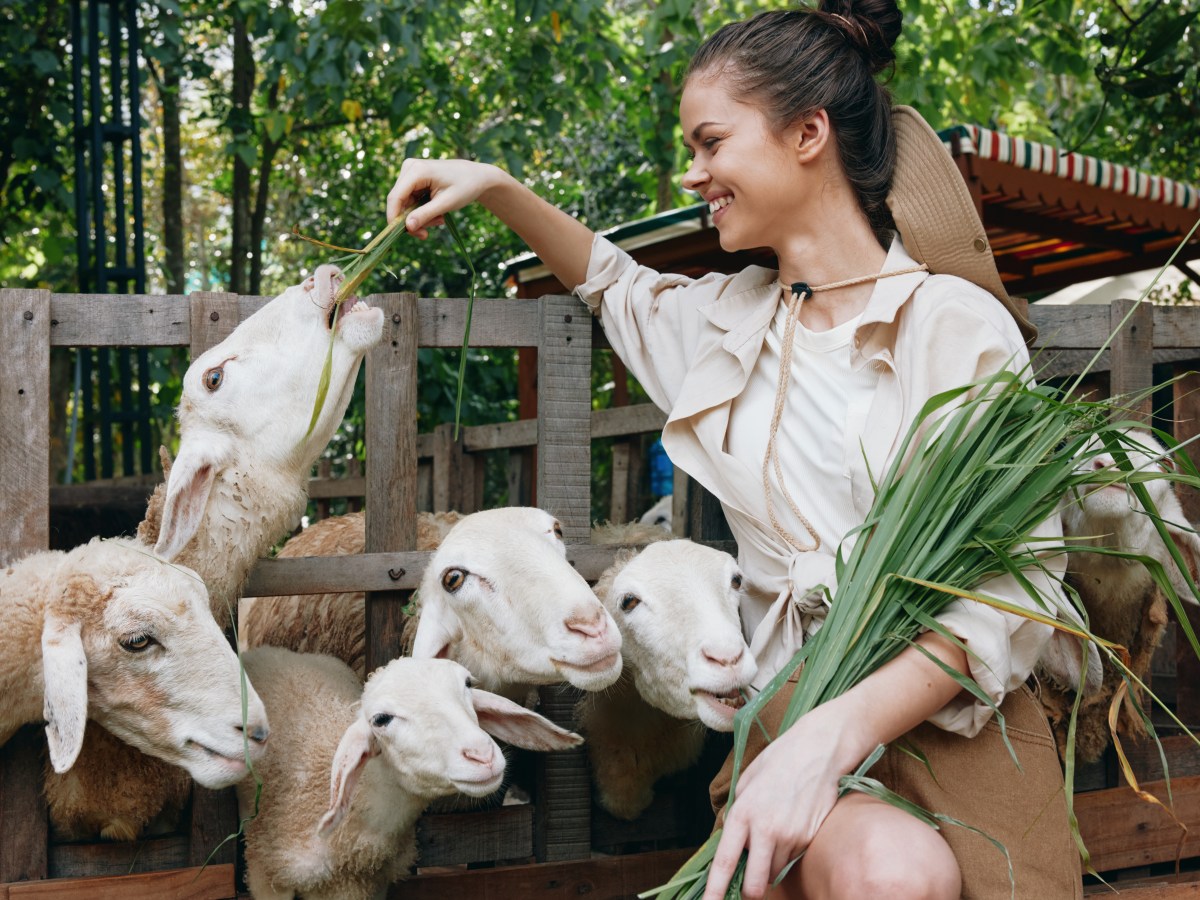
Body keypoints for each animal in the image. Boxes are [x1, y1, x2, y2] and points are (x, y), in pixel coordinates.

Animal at [235, 648, 580, 900]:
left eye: (468, 684)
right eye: (381, 719)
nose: (482, 755)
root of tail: (276, 650)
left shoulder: (370, 886)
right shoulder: (267, 877)